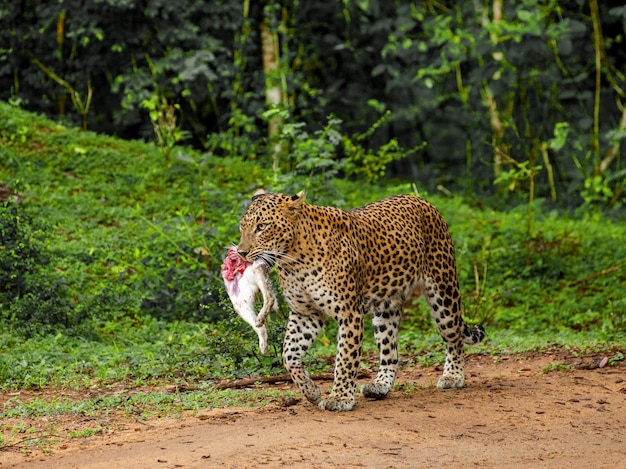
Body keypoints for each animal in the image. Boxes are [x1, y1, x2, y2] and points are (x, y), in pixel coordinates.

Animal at [234, 190, 482, 410]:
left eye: (262, 227)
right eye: (242, 227)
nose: (241, 253)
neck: (294, 260)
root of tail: (422, 201)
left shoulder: (348, 312)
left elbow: (345, 358)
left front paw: (340, 398)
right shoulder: (306, 314)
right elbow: (288, 355)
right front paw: (311, 391)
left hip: (443, 292)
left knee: (454, 338)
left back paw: (453, 376)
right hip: (386, 308)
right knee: (390, 351)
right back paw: (380, 386)